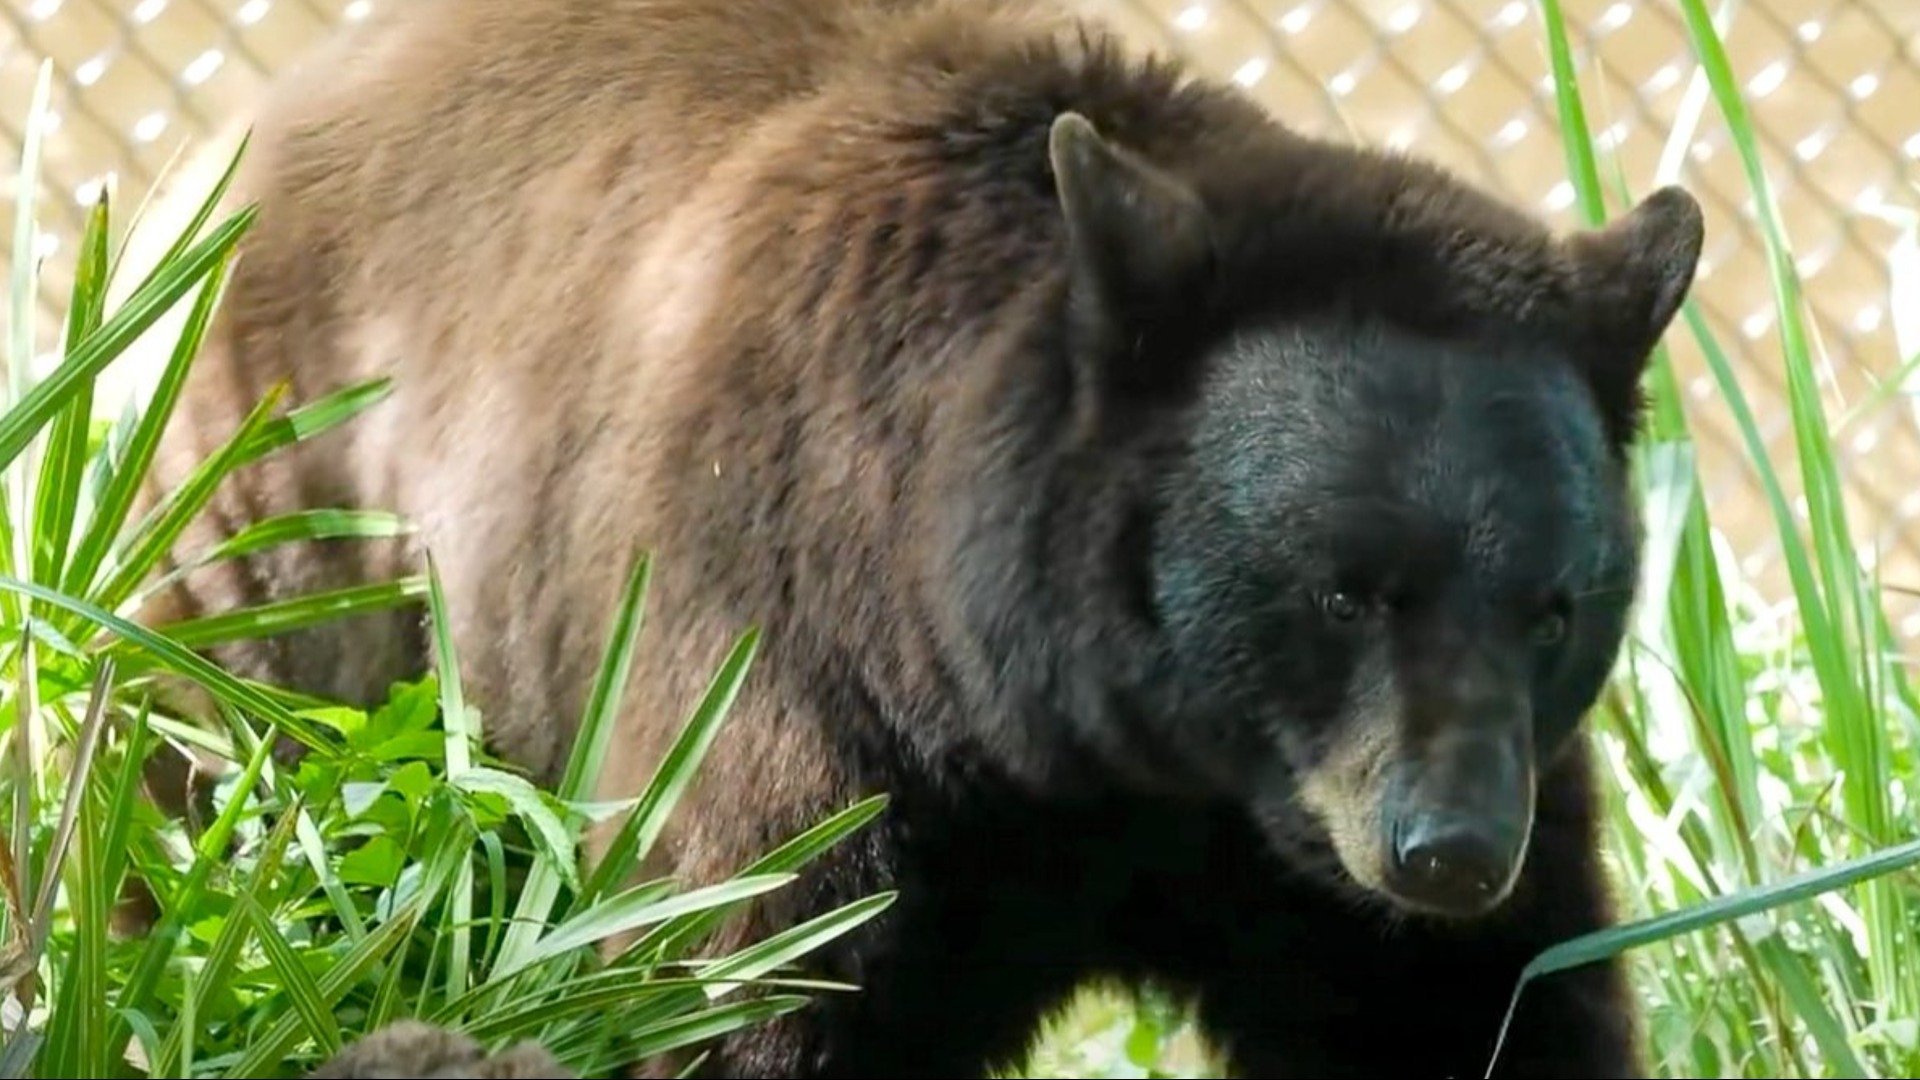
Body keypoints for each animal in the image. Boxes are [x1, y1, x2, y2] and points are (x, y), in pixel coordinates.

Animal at [117, 0, 1705, 1075]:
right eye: (1343, 593)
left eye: (1558, 608)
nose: (1450, 851)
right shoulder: (786, 682)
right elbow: (746, 978)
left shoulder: (1343, 846)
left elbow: (1475, 1009)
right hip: (276, 554)